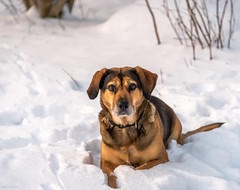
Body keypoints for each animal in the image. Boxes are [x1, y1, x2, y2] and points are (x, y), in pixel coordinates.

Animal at [86, 66, 223, 188]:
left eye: (132, 86)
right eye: (111, 87)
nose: (123, 105)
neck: (126, 127)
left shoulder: (160, 158)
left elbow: (139, 168)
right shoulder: (106, 163)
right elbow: (111, 176)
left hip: (175, 131)